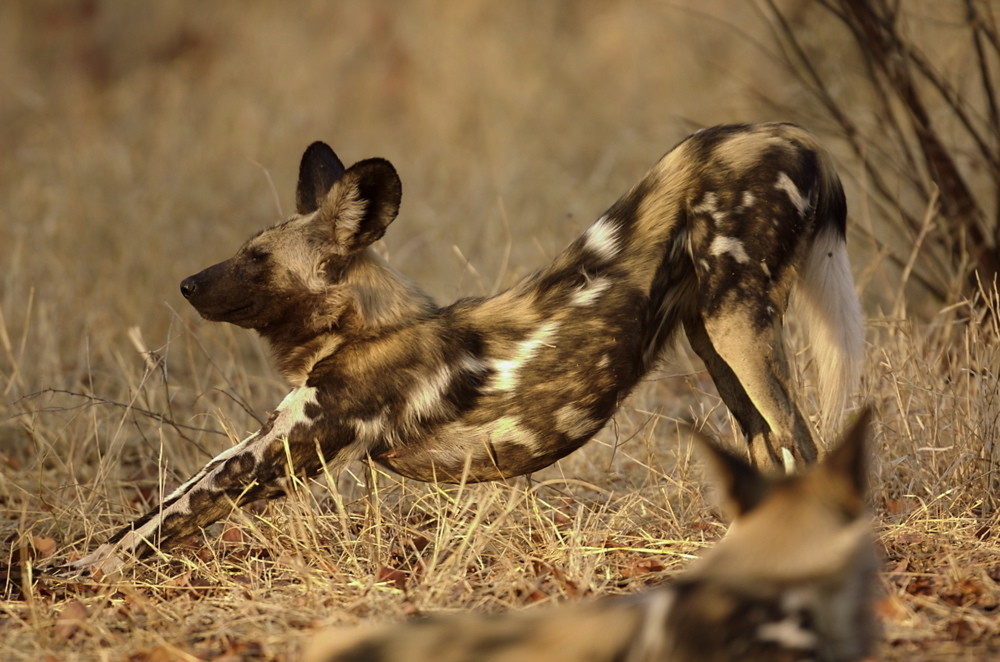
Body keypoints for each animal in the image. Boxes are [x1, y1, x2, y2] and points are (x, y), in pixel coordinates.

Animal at [70, 123, 864, 576]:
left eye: (257, 259)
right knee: (768, 446)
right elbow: (155, 513)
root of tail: (790, 132)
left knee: (800, 443)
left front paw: (74, 576)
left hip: (737, 323)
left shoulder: (273, 455)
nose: (186, 284)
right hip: (713, 340)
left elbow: (156, 522)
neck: (362, 325)